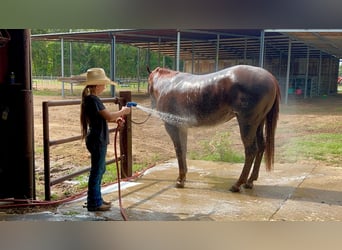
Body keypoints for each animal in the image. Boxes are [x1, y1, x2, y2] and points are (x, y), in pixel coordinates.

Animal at [148, 64, 280, 191]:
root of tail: (270, 78)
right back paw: (250, 181)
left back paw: (237, 184)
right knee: (261, 146)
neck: (168, 84)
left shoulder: (173, 127)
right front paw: (183, 177)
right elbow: (183, 149)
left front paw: (180, 180)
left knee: (251, 150)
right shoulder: (182, 127)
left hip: (247, 124)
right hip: (258, 123)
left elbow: (179, 151)